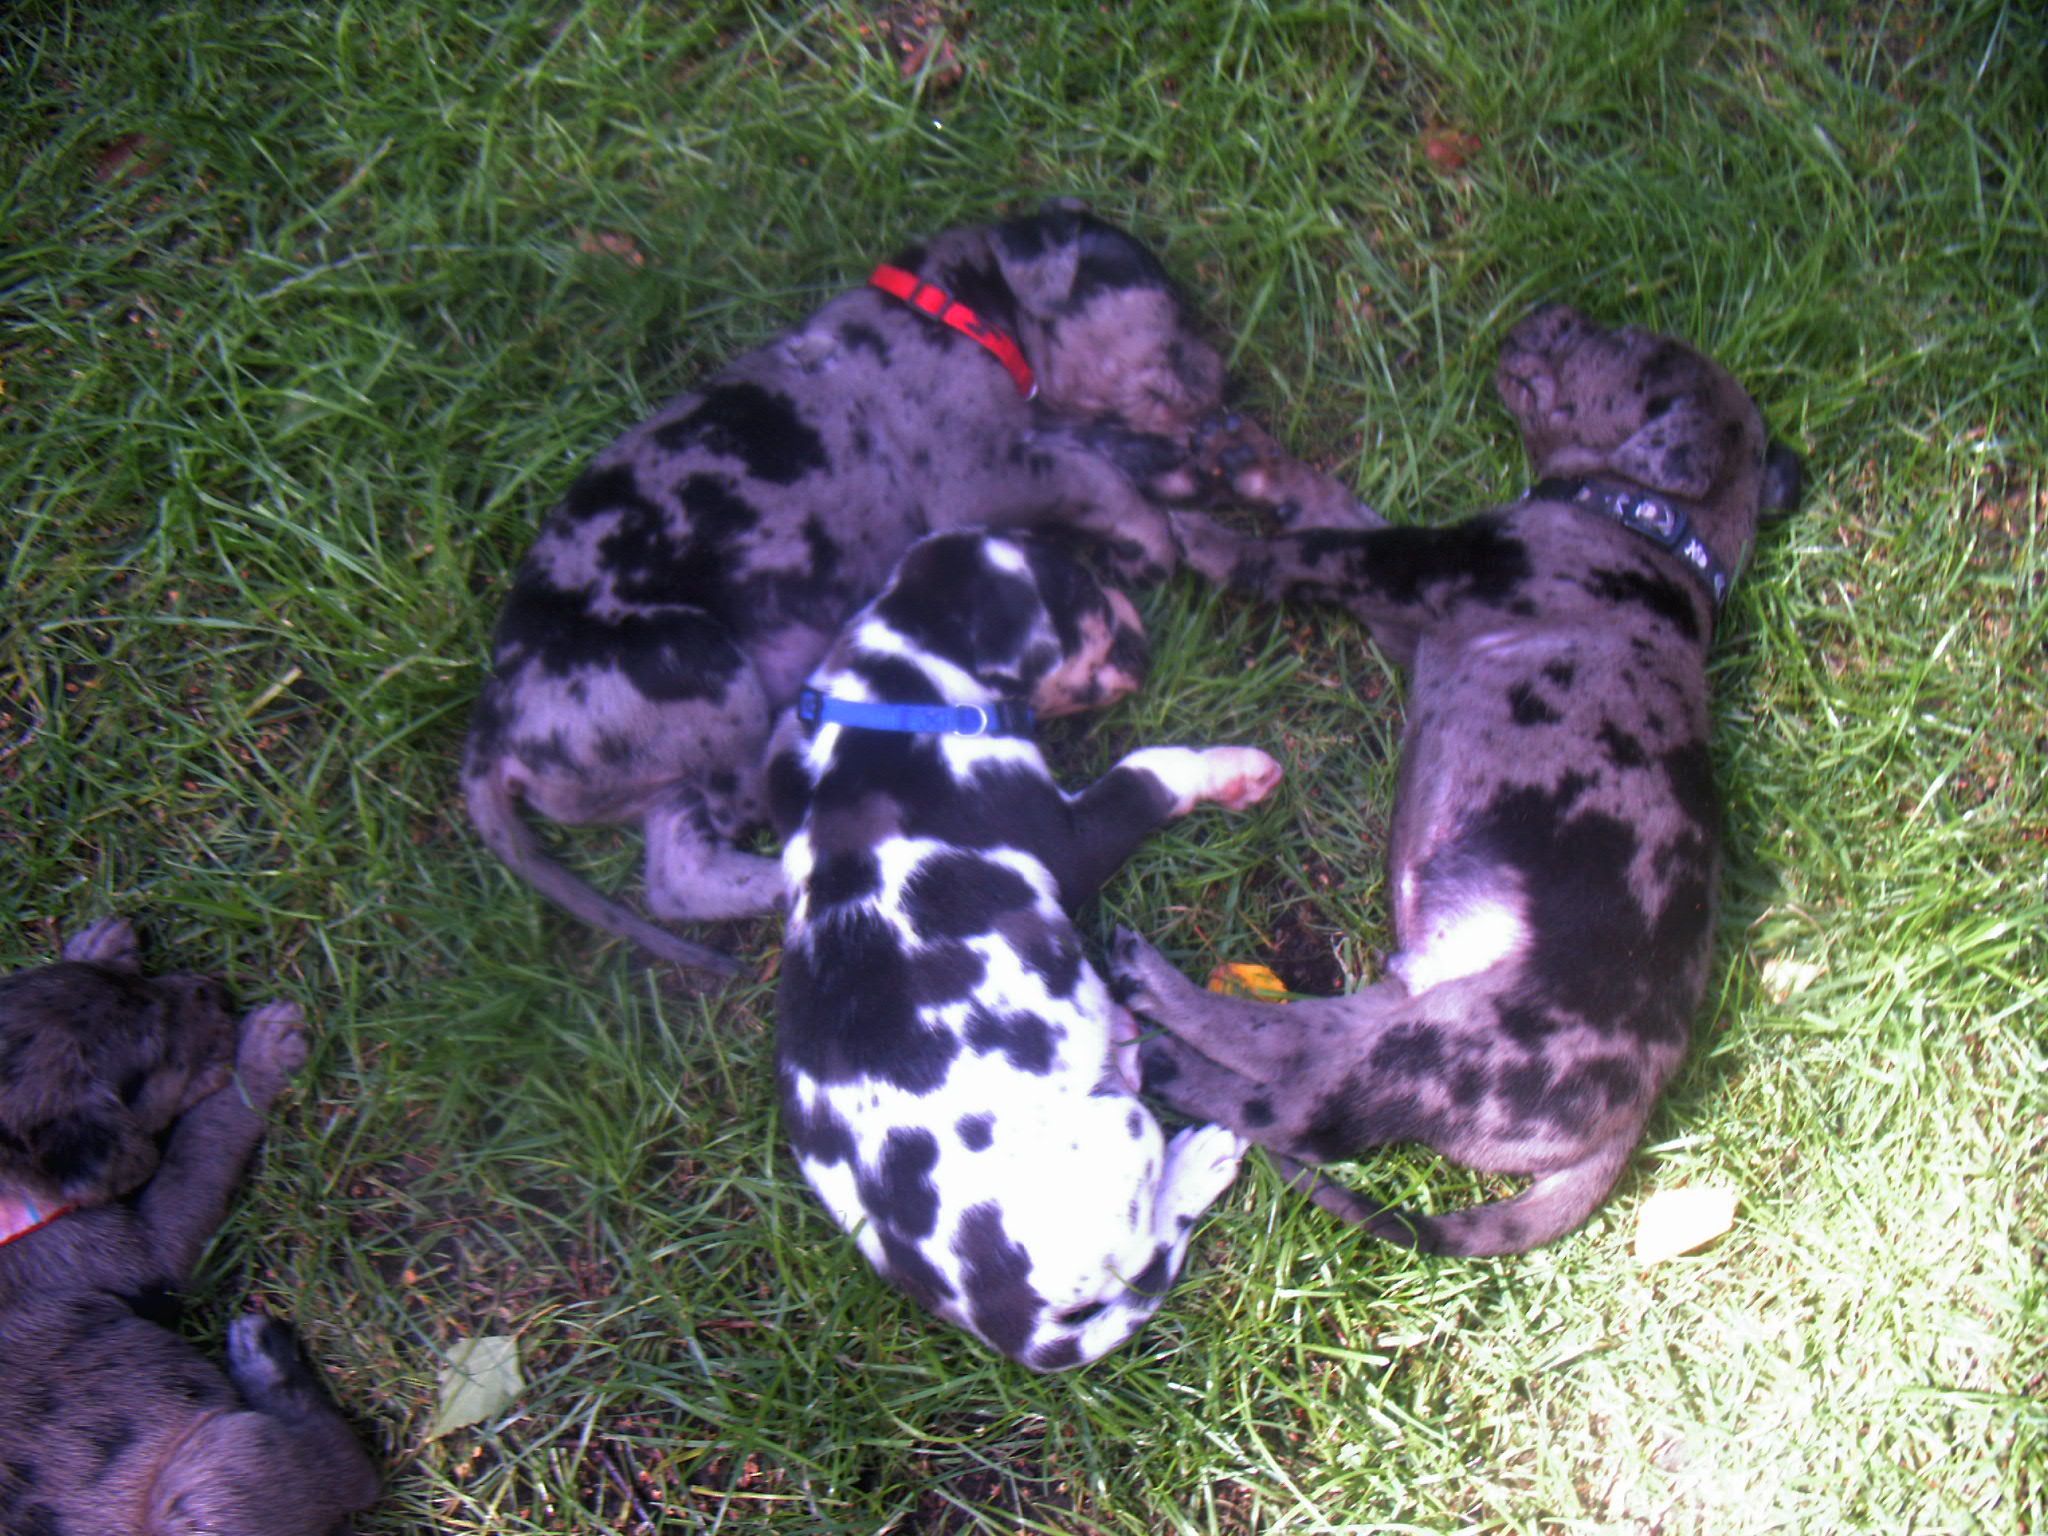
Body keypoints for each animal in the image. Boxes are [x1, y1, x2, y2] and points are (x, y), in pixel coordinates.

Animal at [0, 918, 379, 1535]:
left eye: (128, 985)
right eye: (158, 1056)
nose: (213, 991)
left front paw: (99, 944)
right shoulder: (132, 1250)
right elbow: (197, 1144)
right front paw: (261, 1054)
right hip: (212, 1477)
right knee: (348, 1473)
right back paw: (267, 1364)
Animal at [464, 201, 1243, 974]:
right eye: (1171, 309)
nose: (1223, 387)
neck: (961, 313)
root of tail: (494, 721)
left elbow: (1097, 449)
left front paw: (1183, 471)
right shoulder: (979, 472)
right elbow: (1091, 473)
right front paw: (1148, 538)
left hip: (661, 768)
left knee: (680, 876)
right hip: (700, 667)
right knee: (739, 807)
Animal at [768, 531, 1283, 1368]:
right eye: (1088, 594)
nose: (1146, 629)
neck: (889, 700)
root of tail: (1008, 1322)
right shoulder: (1068, 839)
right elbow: (1151, 767)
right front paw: (1232, 770)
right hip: (1121, 1132)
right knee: (1141, 1251)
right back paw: (1194, 1164)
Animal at [1113, 305, 1803, 1256]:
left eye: (1628, 344)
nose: (1548, 313)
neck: (1649, 526)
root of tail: (1633, 1117)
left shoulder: (1417, 568)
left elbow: (1307, 547)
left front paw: (1197, 536)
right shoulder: (1407, 614)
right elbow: (1330, 501)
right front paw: (1249, 459)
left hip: (1455, 1050)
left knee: (1303, 1112)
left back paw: (1164, 1048)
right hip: (1406, 1012)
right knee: (1290, 1049)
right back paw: (1164, 1007)